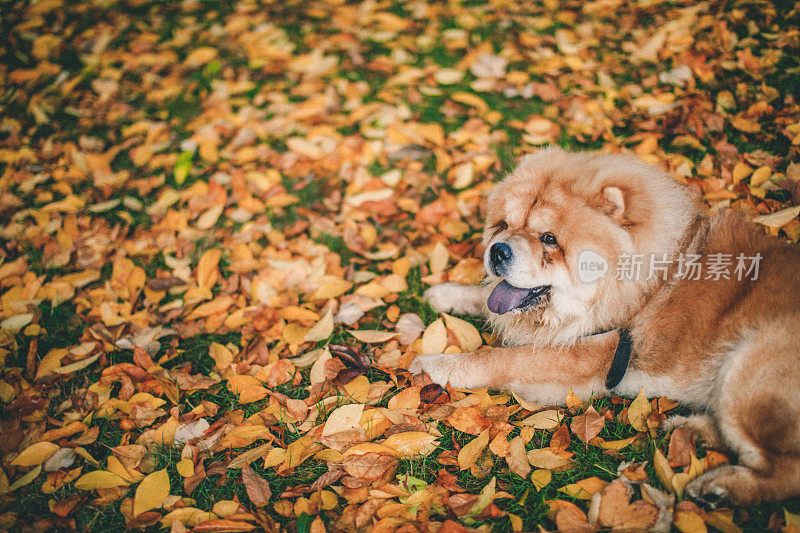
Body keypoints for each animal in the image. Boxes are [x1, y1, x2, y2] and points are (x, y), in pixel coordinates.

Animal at [410, 147, 800, 508]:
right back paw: (687, 428)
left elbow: (494, 359)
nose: (498, 250)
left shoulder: (589, 355)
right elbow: (487, 299)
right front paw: (444, 293)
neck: (655, 281)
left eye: (549, 239)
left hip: (748, 372)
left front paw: (429, 365)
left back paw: (717, 486)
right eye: (503, 226)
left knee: (783, 471)